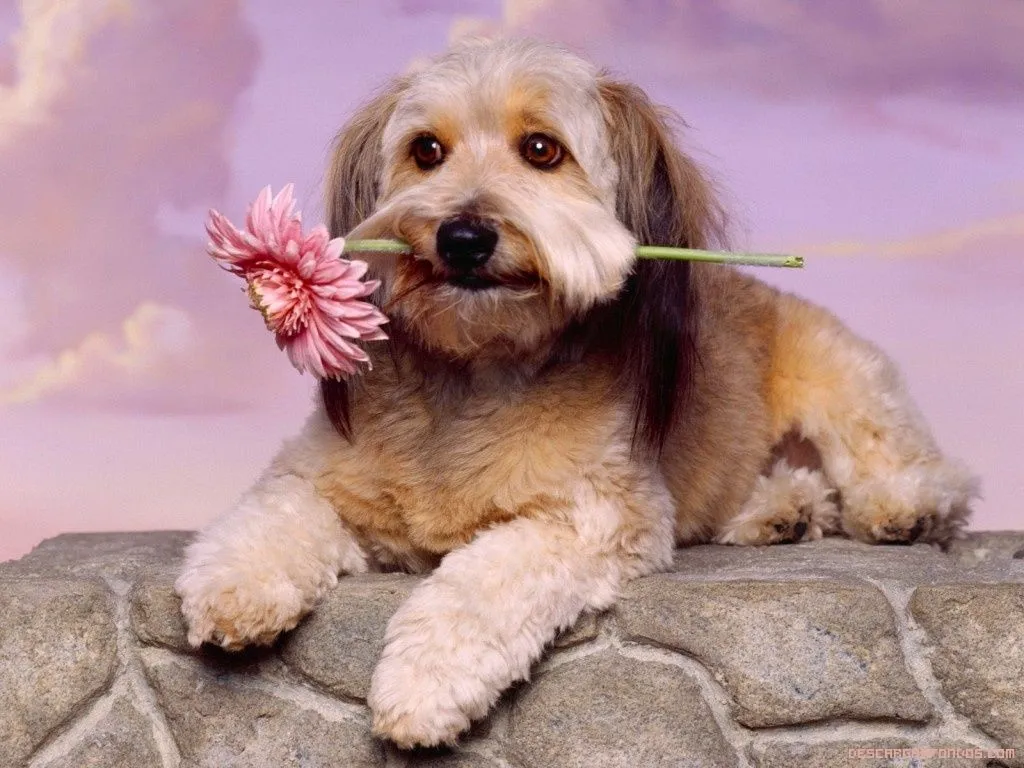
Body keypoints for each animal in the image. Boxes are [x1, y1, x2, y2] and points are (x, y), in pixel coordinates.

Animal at [174, 37, 974, 753]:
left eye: (542, 149)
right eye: (426, 151)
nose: (462, 236)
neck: (477, 370)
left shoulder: (592, 518)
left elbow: (482, 583)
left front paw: (423, 685)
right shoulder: (319, 476)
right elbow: (277, 513)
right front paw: (236, 584)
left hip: (844, 375)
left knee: (918, 469)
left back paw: (900, 507)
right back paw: (781, 510)